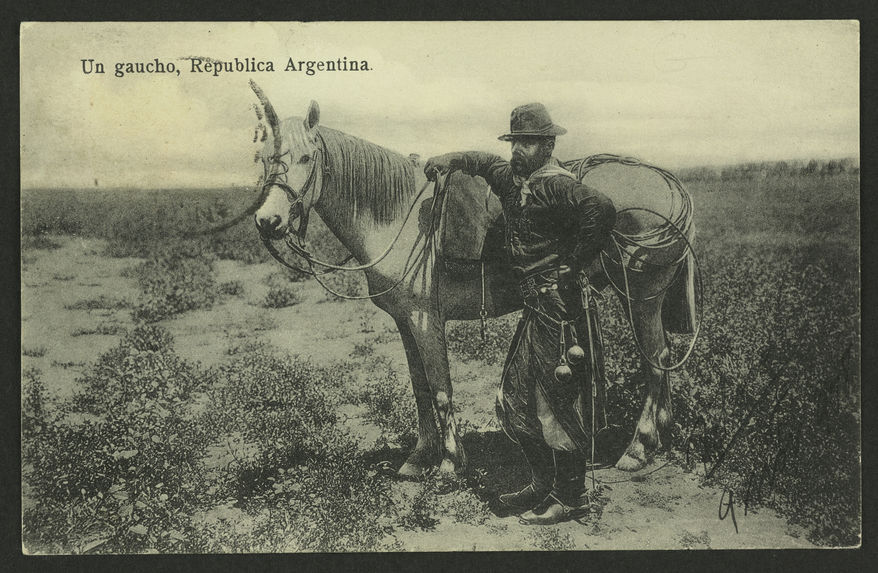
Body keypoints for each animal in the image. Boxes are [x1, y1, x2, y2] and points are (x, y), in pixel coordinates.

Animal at [251, 96, 696, 476]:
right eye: (267, 158)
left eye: (307, 157)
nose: (268, 221)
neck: (395, 217)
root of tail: (672, 185)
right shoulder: (404, 321)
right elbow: (420, 388)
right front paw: (419, 457)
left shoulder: (426, 319)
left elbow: (441, 389)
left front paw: (450, 463)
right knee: (661, 358)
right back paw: (661, 434)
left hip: (641, 297)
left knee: (656, 359)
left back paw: (637, 449)